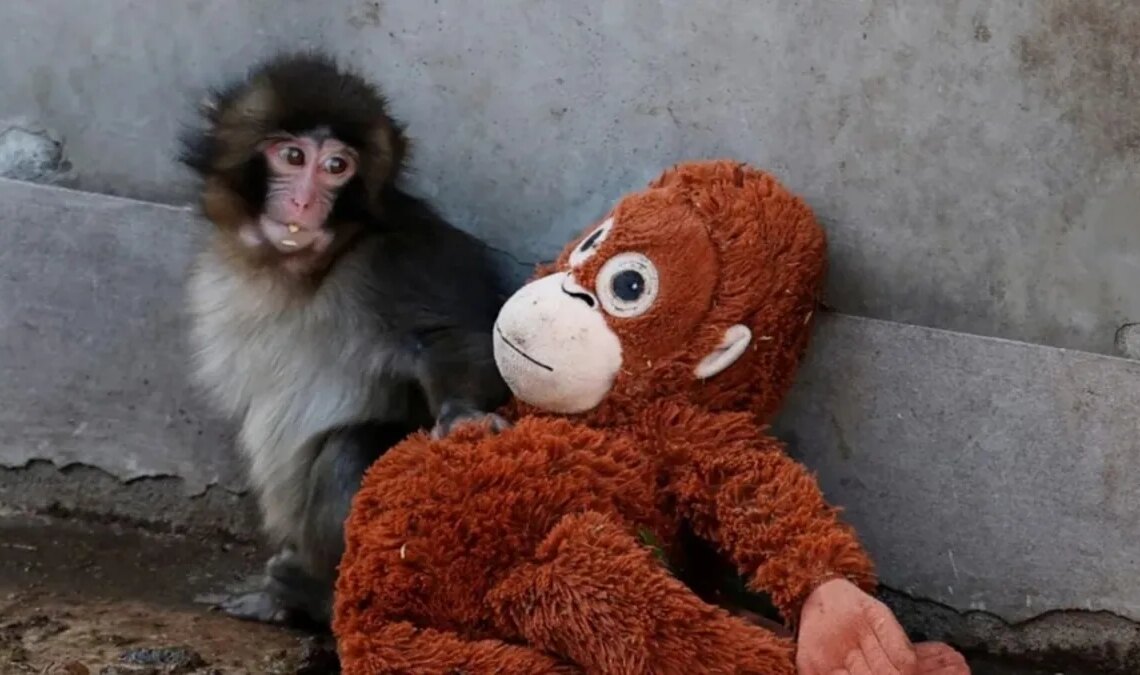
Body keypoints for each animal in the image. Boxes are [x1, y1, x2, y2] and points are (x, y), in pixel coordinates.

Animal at [178, 51, 512, 628]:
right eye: (293, 156)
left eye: (337, 167)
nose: (305, 201)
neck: (303, 269)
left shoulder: (398, 259)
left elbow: (457, 339)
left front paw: (464, 415)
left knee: (348, 452)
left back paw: (314, 596)